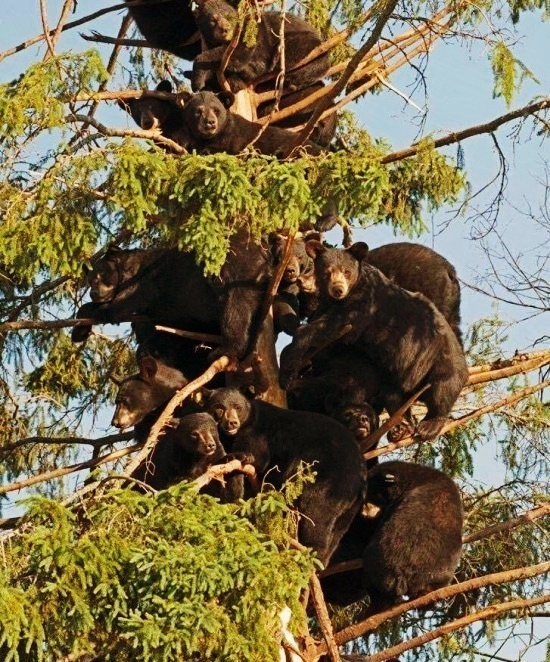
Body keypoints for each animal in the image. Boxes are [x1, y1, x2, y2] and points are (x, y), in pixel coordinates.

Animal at [191, 0, 328, 93]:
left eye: (229, 16)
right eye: (212, 20)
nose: (225, 29)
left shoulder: (253, 35)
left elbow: (239, 54)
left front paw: (196, 81)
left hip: (304, 43)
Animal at [207, 390, 366, 564]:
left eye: (238, 407)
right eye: (219, 408)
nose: (232, 423)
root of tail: (361, 473)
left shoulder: (257, 432)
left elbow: (257, 457)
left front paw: (235, 456)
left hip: (331, 479)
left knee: (317, 513)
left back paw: (310, 552)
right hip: (351, 506)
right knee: (338, 531)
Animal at [280, 241, 470, 444]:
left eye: (347, 272)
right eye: (326, 271)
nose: (338, 289)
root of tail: (451, 271)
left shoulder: (364, 305)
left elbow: (335, 328)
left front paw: (289, 367)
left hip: (437, 357)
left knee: (443, 388)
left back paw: (429, 425)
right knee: (394, 397)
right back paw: (402, 427)